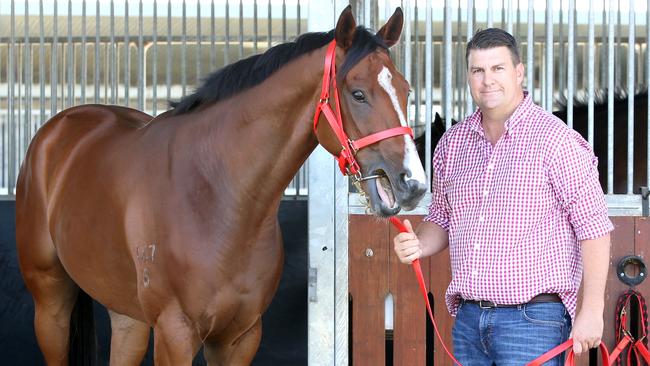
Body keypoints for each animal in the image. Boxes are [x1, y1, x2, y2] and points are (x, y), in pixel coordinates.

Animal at [15, 6, 426, 366]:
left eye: (406, 90)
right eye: (358, 94)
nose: (413, 183)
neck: (216, 197)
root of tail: (60, 128)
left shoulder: (240, 337)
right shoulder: (175, 334)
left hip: (126, 314)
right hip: (50, 302)